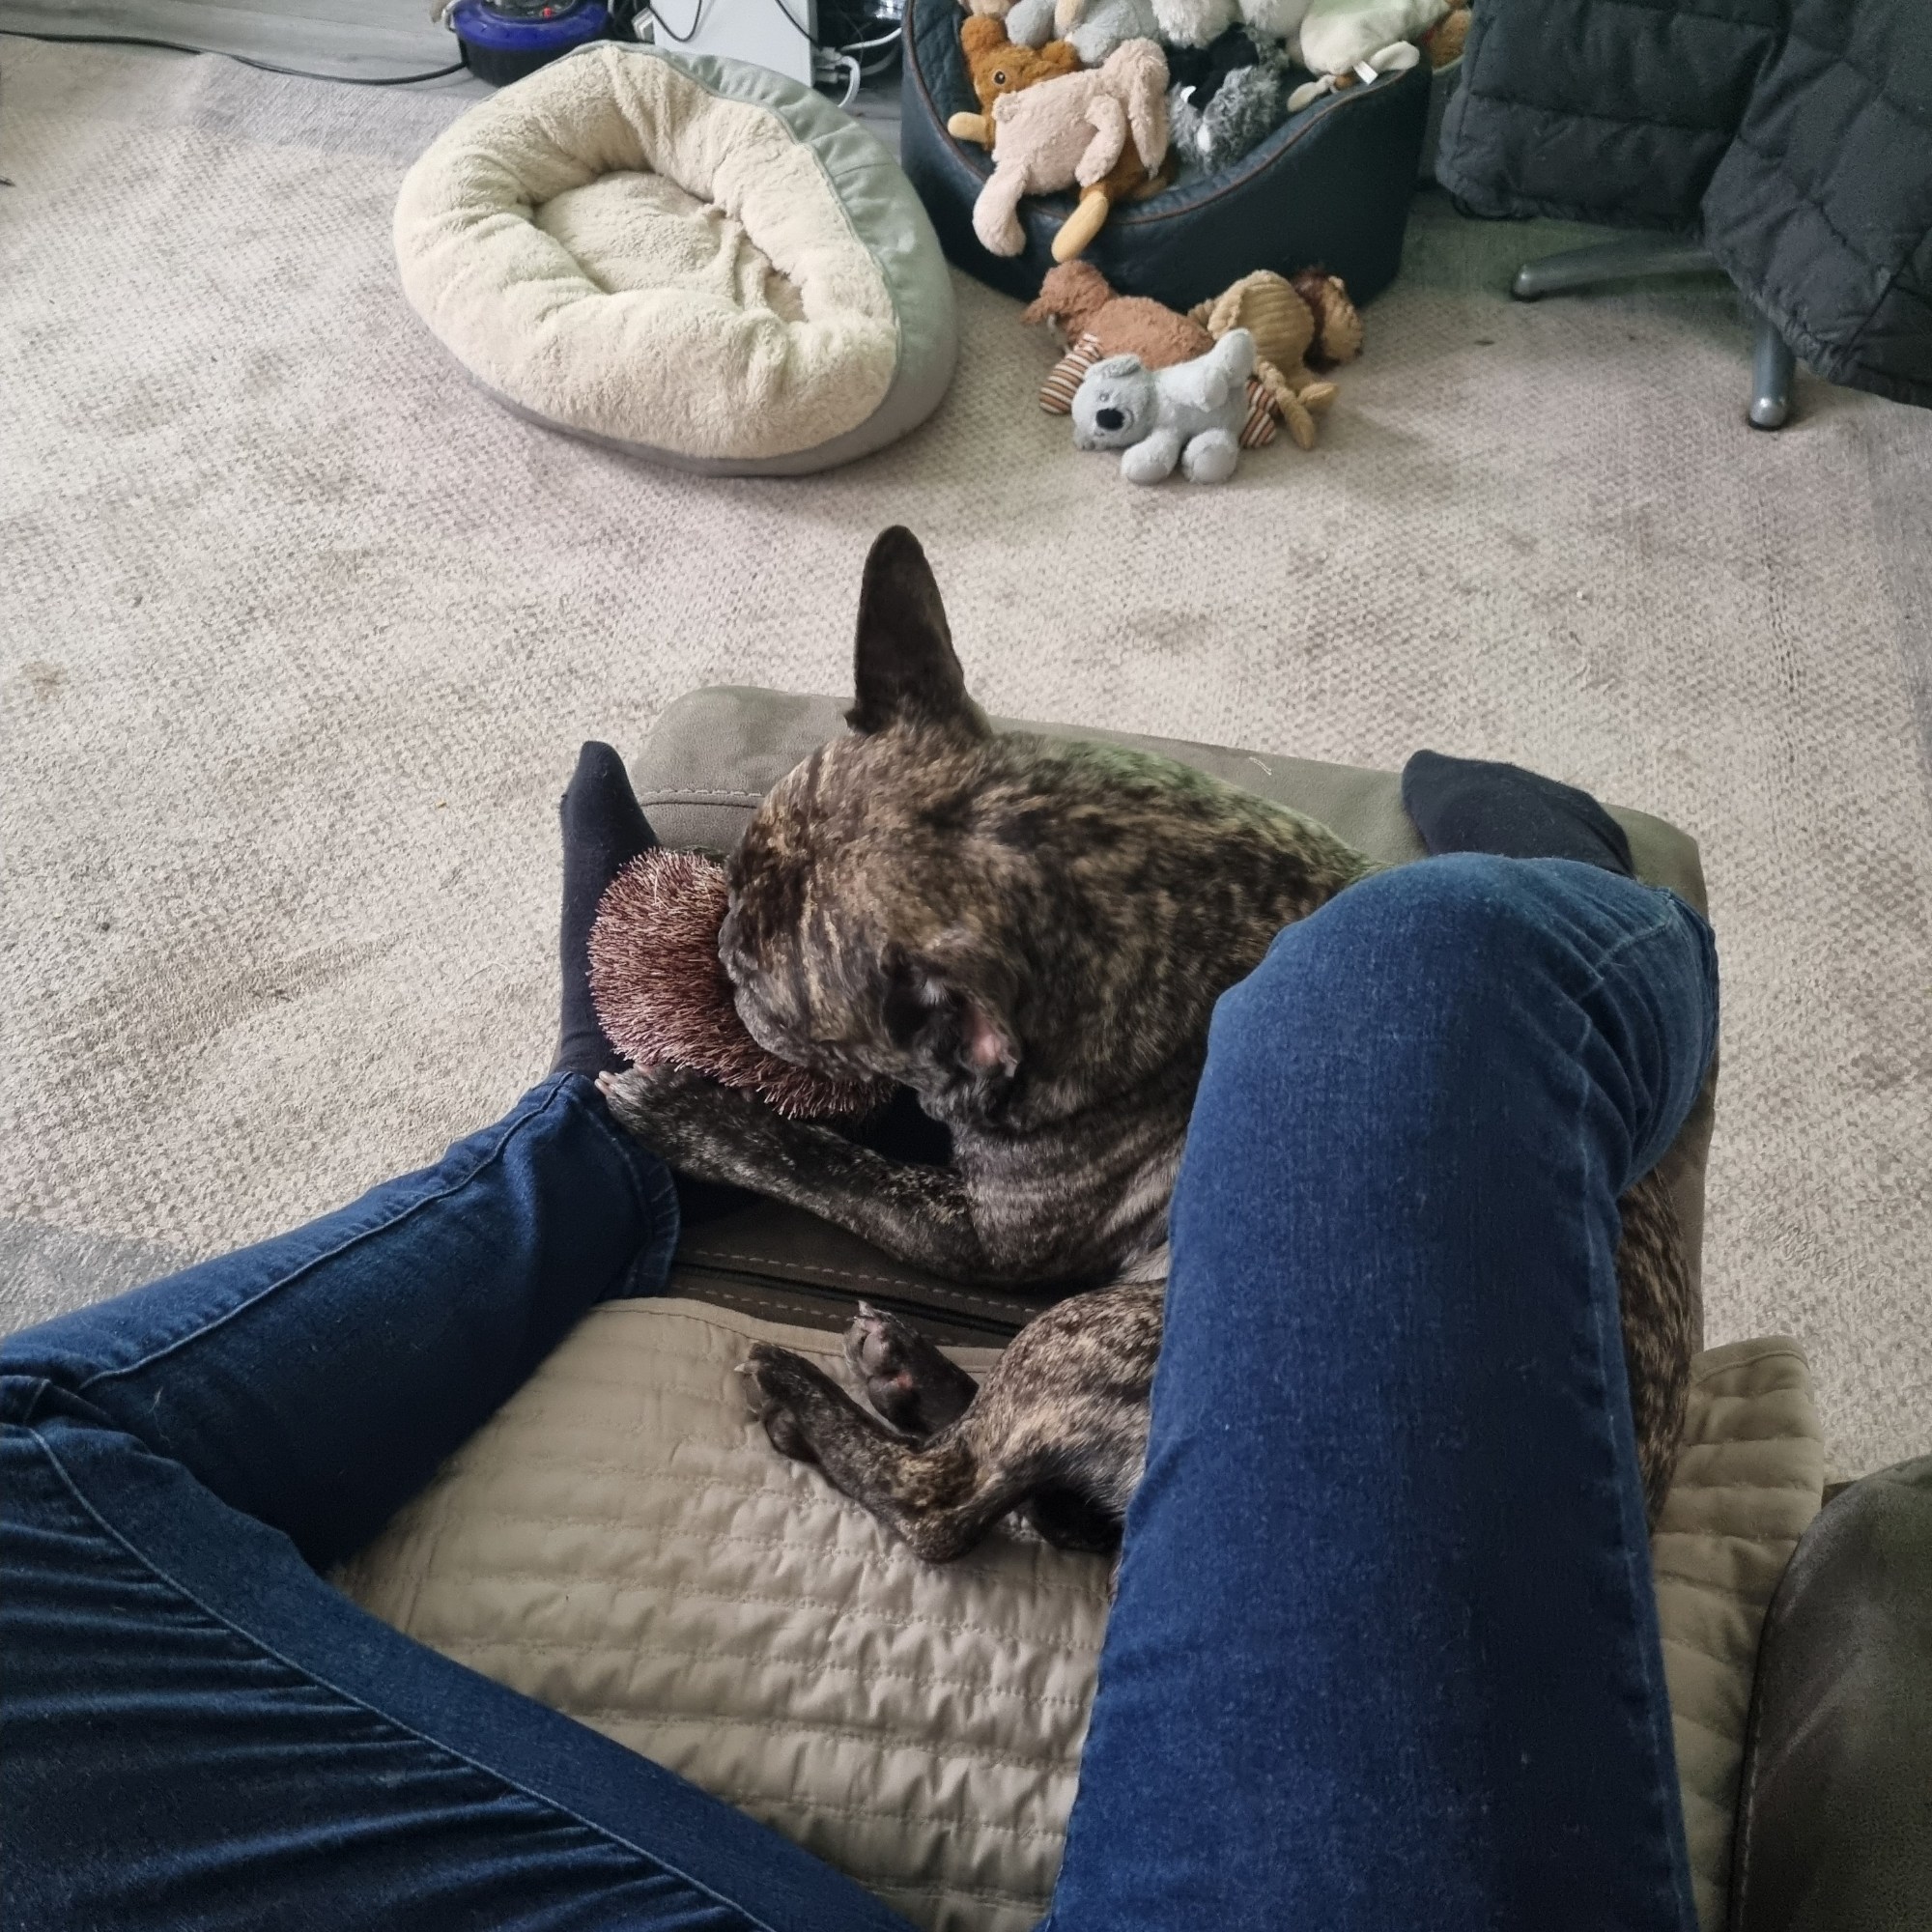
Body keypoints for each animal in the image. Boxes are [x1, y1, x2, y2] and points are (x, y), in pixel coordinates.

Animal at [600, 528, 1694, 1559]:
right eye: (738, 878)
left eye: (765, 990)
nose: (718, 944)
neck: (1104, 863)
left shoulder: (974, 1233)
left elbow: (829, 1163)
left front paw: (691, 1115)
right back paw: (909, 1374)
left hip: (1086, 1328)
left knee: (945, 1496)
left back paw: (807, 1393)